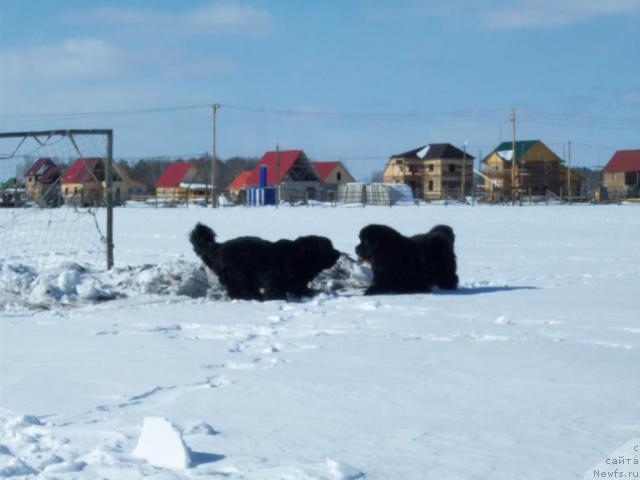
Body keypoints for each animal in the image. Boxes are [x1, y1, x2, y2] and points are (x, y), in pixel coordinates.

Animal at [189, 222, 340, 300]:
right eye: (328, 248)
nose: (338, 253)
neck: (299, 257)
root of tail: (217, 247)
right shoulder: (274, 280)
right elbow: (275, 292)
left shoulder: (298, 283)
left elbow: (302, 289)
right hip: (240, 274)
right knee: (240, 289)